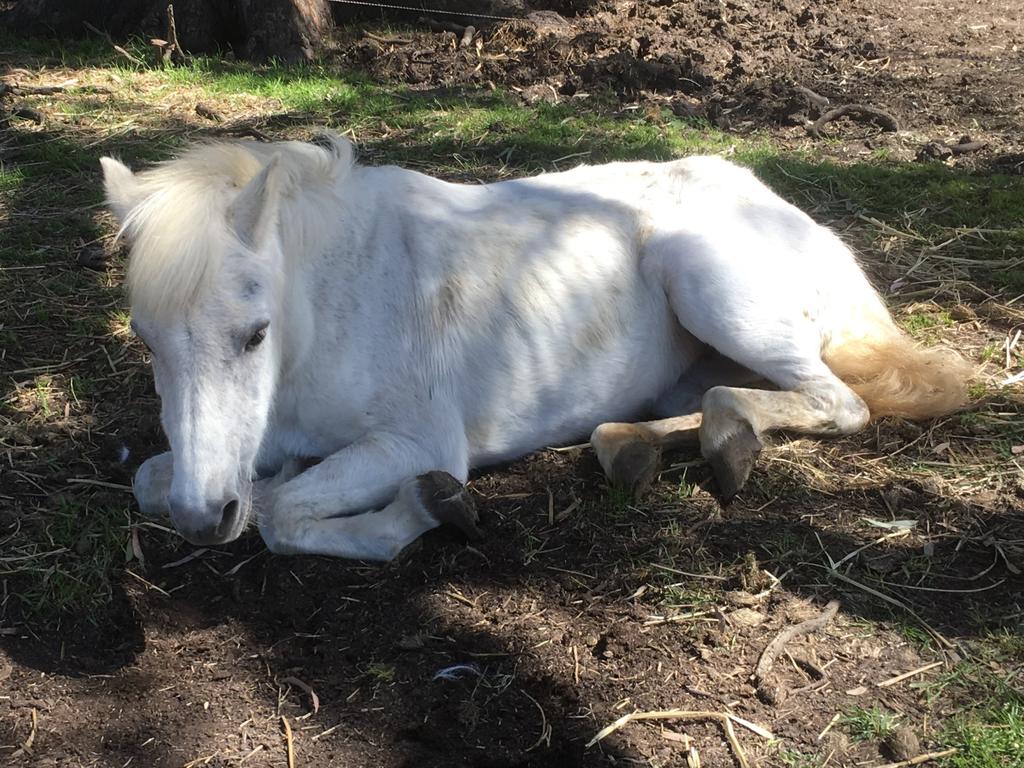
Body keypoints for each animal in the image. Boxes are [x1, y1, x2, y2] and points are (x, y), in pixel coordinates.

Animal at [101, 134, 966, 561]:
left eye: (254, 333)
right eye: (146, 339)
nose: (203, 520)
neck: (325, 311)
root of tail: (785, 210)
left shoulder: (418, 443)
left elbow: (281, 514)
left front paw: (427, 511)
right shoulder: (237, 451)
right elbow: (151, 482)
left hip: (708, 284)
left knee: (836, 402)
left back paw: (721, 440)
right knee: (705, 401)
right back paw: (631, 446)